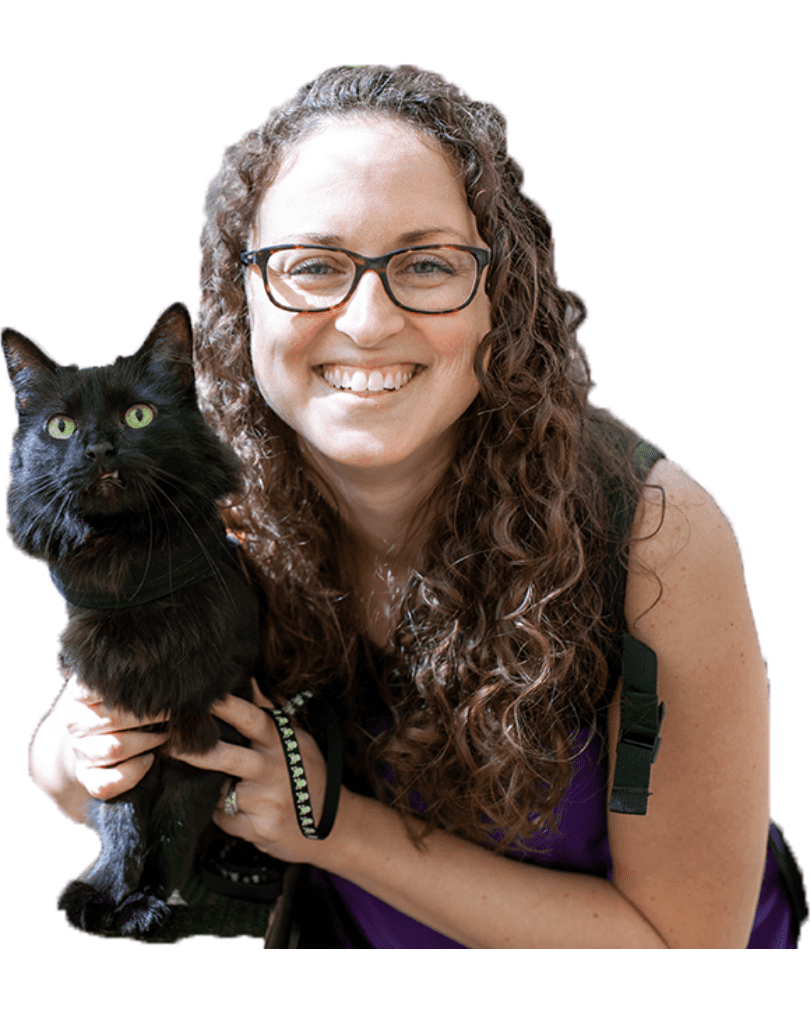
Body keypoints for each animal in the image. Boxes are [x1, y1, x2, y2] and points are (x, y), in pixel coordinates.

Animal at [3, 303, 265, 936]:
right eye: (61, 428)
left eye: (138, 416)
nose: (99, 448)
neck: (129, 577)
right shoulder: (111, 721)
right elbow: (120, 812)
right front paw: (108, 892)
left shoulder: (206, 719)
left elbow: (173, 822)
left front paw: (149, 899)